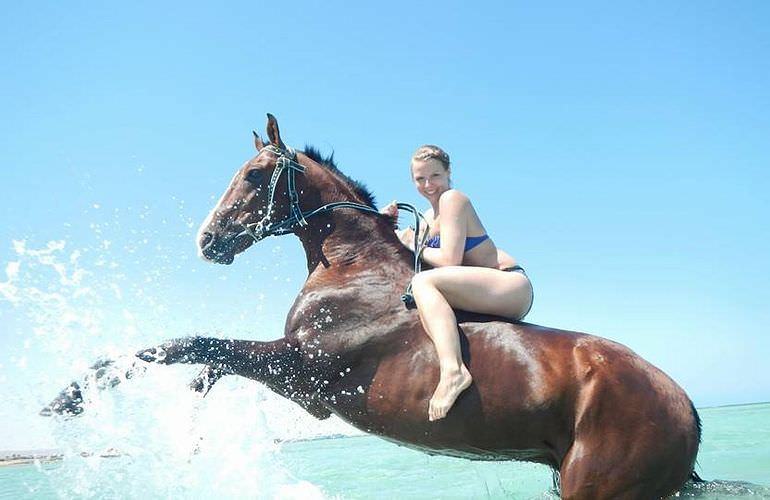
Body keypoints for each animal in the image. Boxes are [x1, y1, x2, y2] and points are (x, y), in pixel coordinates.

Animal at [45, 114, 700, 500]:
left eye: (255, 174)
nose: (208, 241)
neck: (350, 266)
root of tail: (687, 407)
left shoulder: (301, 372)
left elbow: (189, 345)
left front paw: (67, 399)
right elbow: (201, 355)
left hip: (598, 486)